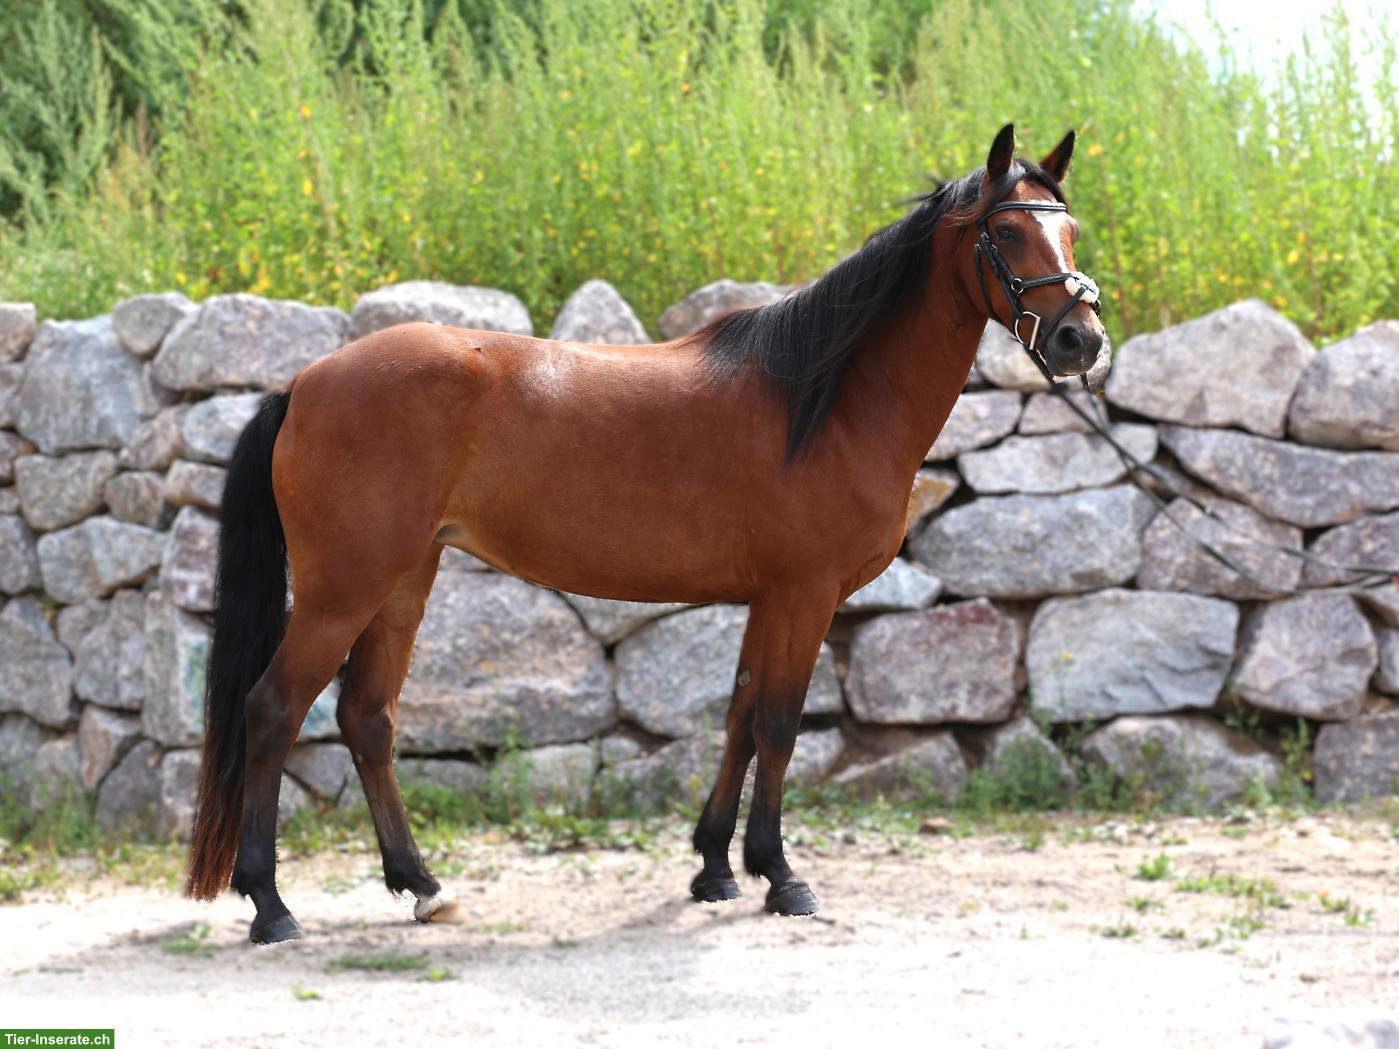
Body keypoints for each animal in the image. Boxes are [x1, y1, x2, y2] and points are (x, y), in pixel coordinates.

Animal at [185, 123, 1106, 943]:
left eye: (1067, 228)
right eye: (1005, 231)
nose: (1080, 339)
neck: (826, 397)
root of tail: (304, 383)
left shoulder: (768, 597)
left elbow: (740, 714)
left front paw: (715, 866)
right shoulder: (804, 593)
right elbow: (778, 723)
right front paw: (781, 875)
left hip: (403, 582)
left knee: (367, 717)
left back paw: (423, 886)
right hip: (344, 590)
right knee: (272, 709)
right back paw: (269, 904)